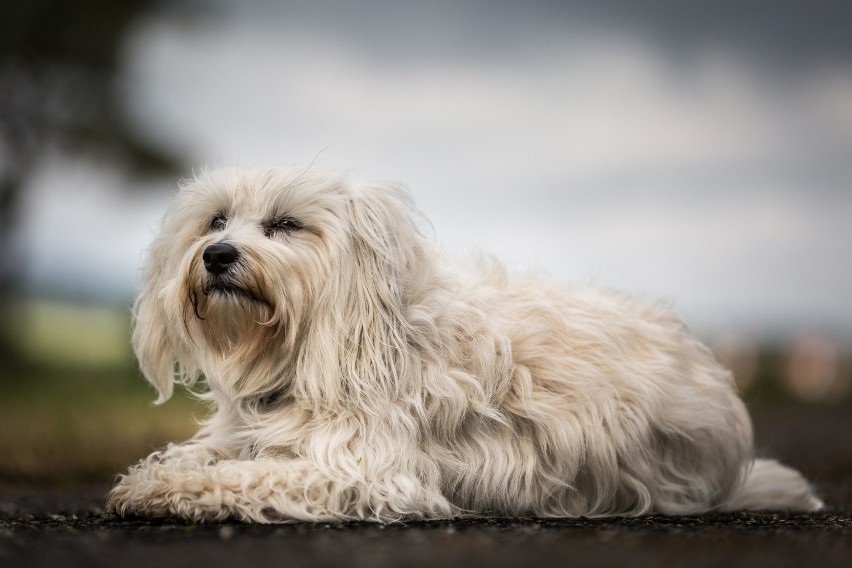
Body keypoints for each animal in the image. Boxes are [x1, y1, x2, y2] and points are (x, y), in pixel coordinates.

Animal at [103, 165, 824, 524]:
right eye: (216, 220)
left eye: (284, 224)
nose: (218, 254)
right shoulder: (251, 434)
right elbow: (199, 458)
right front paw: (150, 478)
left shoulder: (364, 469)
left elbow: (242, 476)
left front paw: (163, 493)